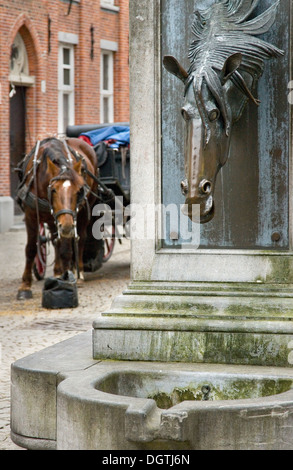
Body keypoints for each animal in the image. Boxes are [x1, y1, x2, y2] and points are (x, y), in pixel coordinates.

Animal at [16, 136, 98, 300]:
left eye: (78, 190)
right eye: (53, 190)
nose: (66, 227)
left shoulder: (68, 218)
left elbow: (65, 248)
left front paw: (66, 278)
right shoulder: (31, 216)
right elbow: (31, 248)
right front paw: (25, 286)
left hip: (82, 213)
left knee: (80, 239)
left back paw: (78, 273)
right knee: (55, 240)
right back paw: (58, 271)